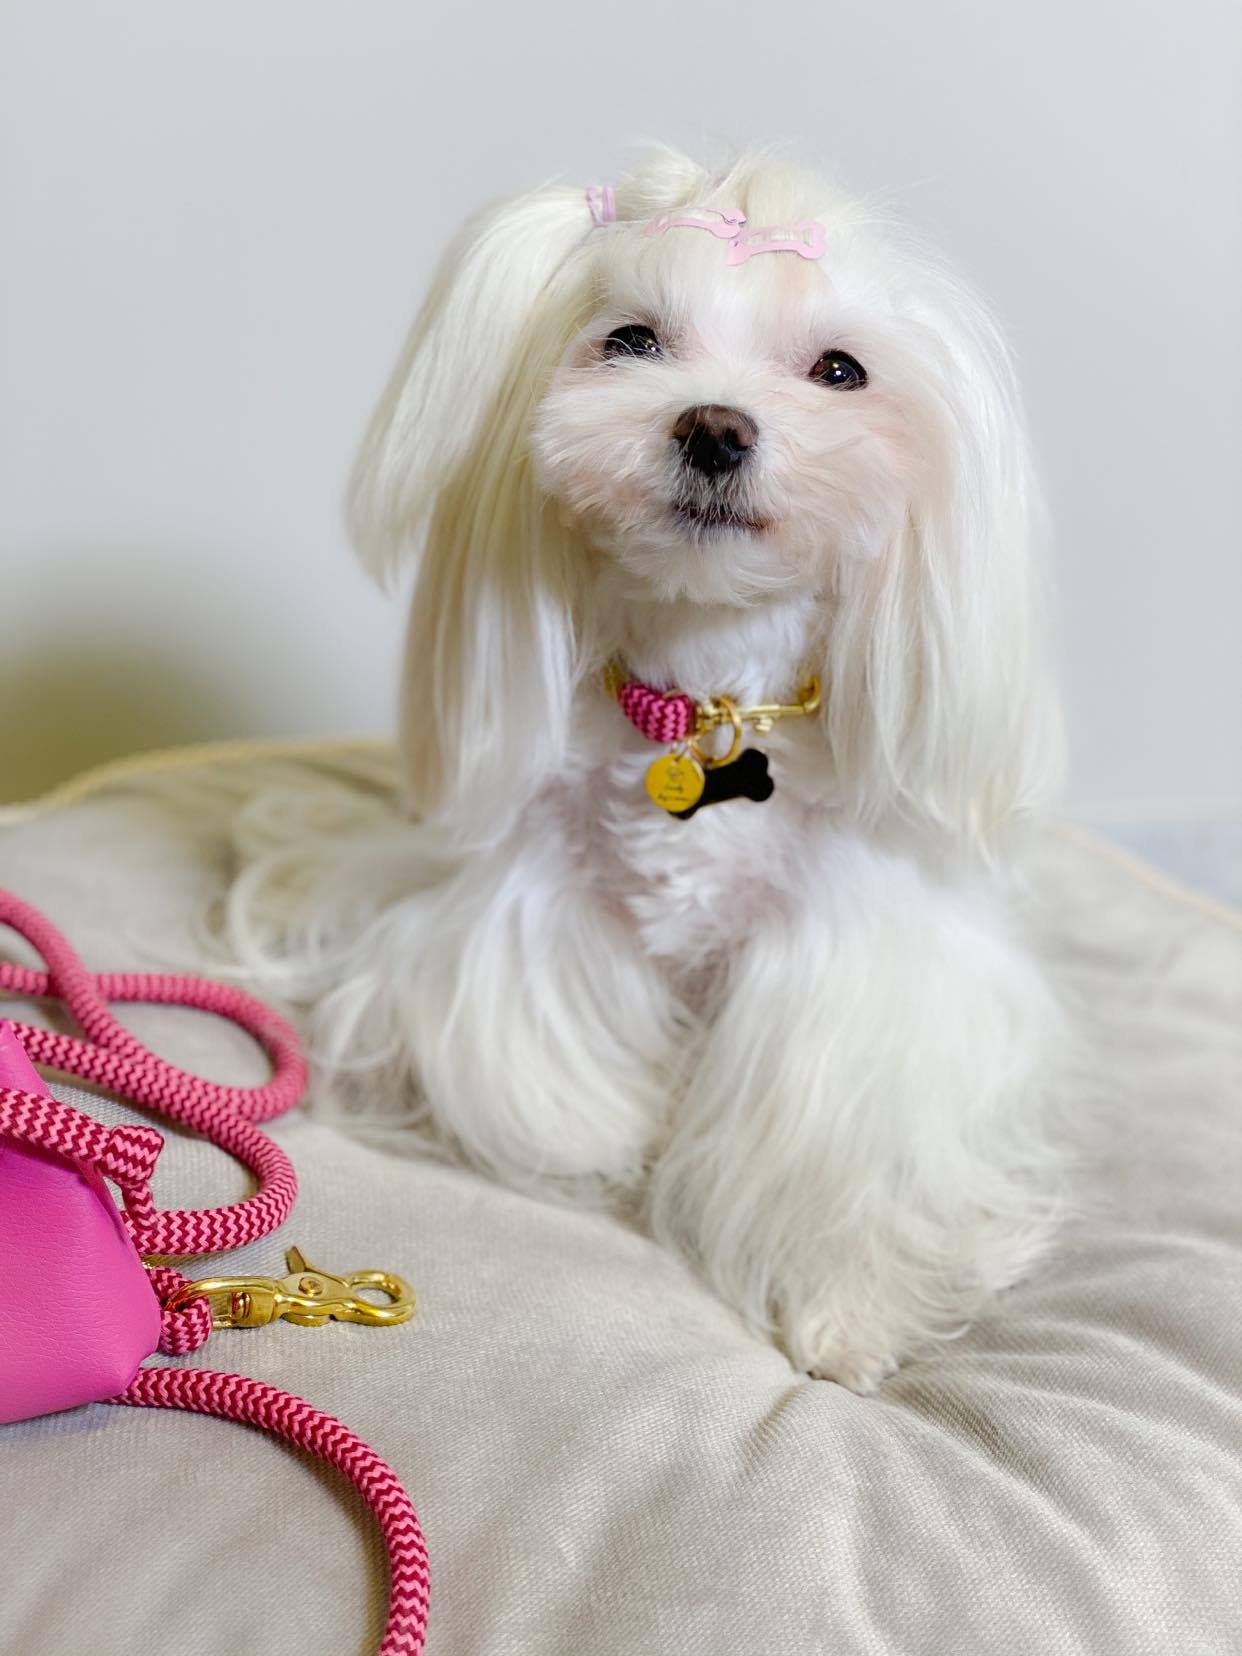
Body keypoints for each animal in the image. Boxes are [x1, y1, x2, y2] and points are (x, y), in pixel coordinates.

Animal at [230, 149, 1064, 1392]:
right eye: (631, 340)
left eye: (841, 370)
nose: (713, 428)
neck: (702, 705)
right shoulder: (529, 910)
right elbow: (534, 1063)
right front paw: (615, 1135)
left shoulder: (849, 973)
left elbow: (841, 1139)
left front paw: (847, 1314)